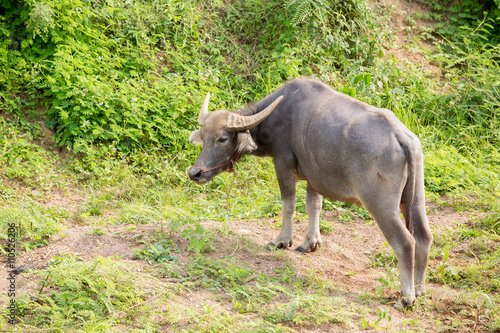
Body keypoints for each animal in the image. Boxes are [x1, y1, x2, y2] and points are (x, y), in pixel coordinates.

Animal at [188, 76, 434, 308]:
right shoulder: (315, 177)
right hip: (414, 198)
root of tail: (401, 137)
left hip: (381, 204)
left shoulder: (283, 164)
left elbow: (288, 204)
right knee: (423, 235)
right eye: (203, 137)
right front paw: (310, 243)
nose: (195, 173)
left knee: (405, 242)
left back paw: (406, 297)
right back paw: (419, 289)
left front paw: (281, 241)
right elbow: (313, 205)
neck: (278, 116)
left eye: (222, 138)